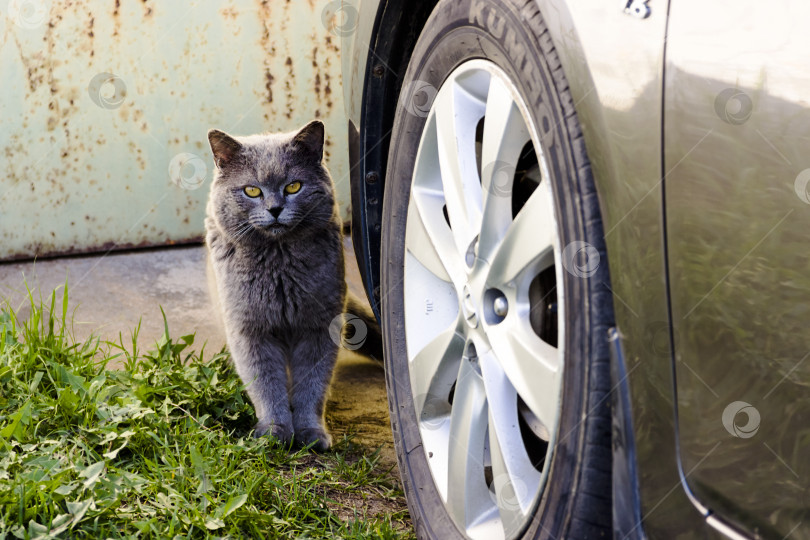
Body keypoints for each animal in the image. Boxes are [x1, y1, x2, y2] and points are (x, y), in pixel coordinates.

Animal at [202, 120, 378, 450]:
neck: (279, 264)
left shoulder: (320, 327)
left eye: (294, 186)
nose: (274, 209)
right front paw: (275, 432)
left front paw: (311, 434)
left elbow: (313, 384)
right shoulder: (249, 330)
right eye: (252, 190)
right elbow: (266, 384)